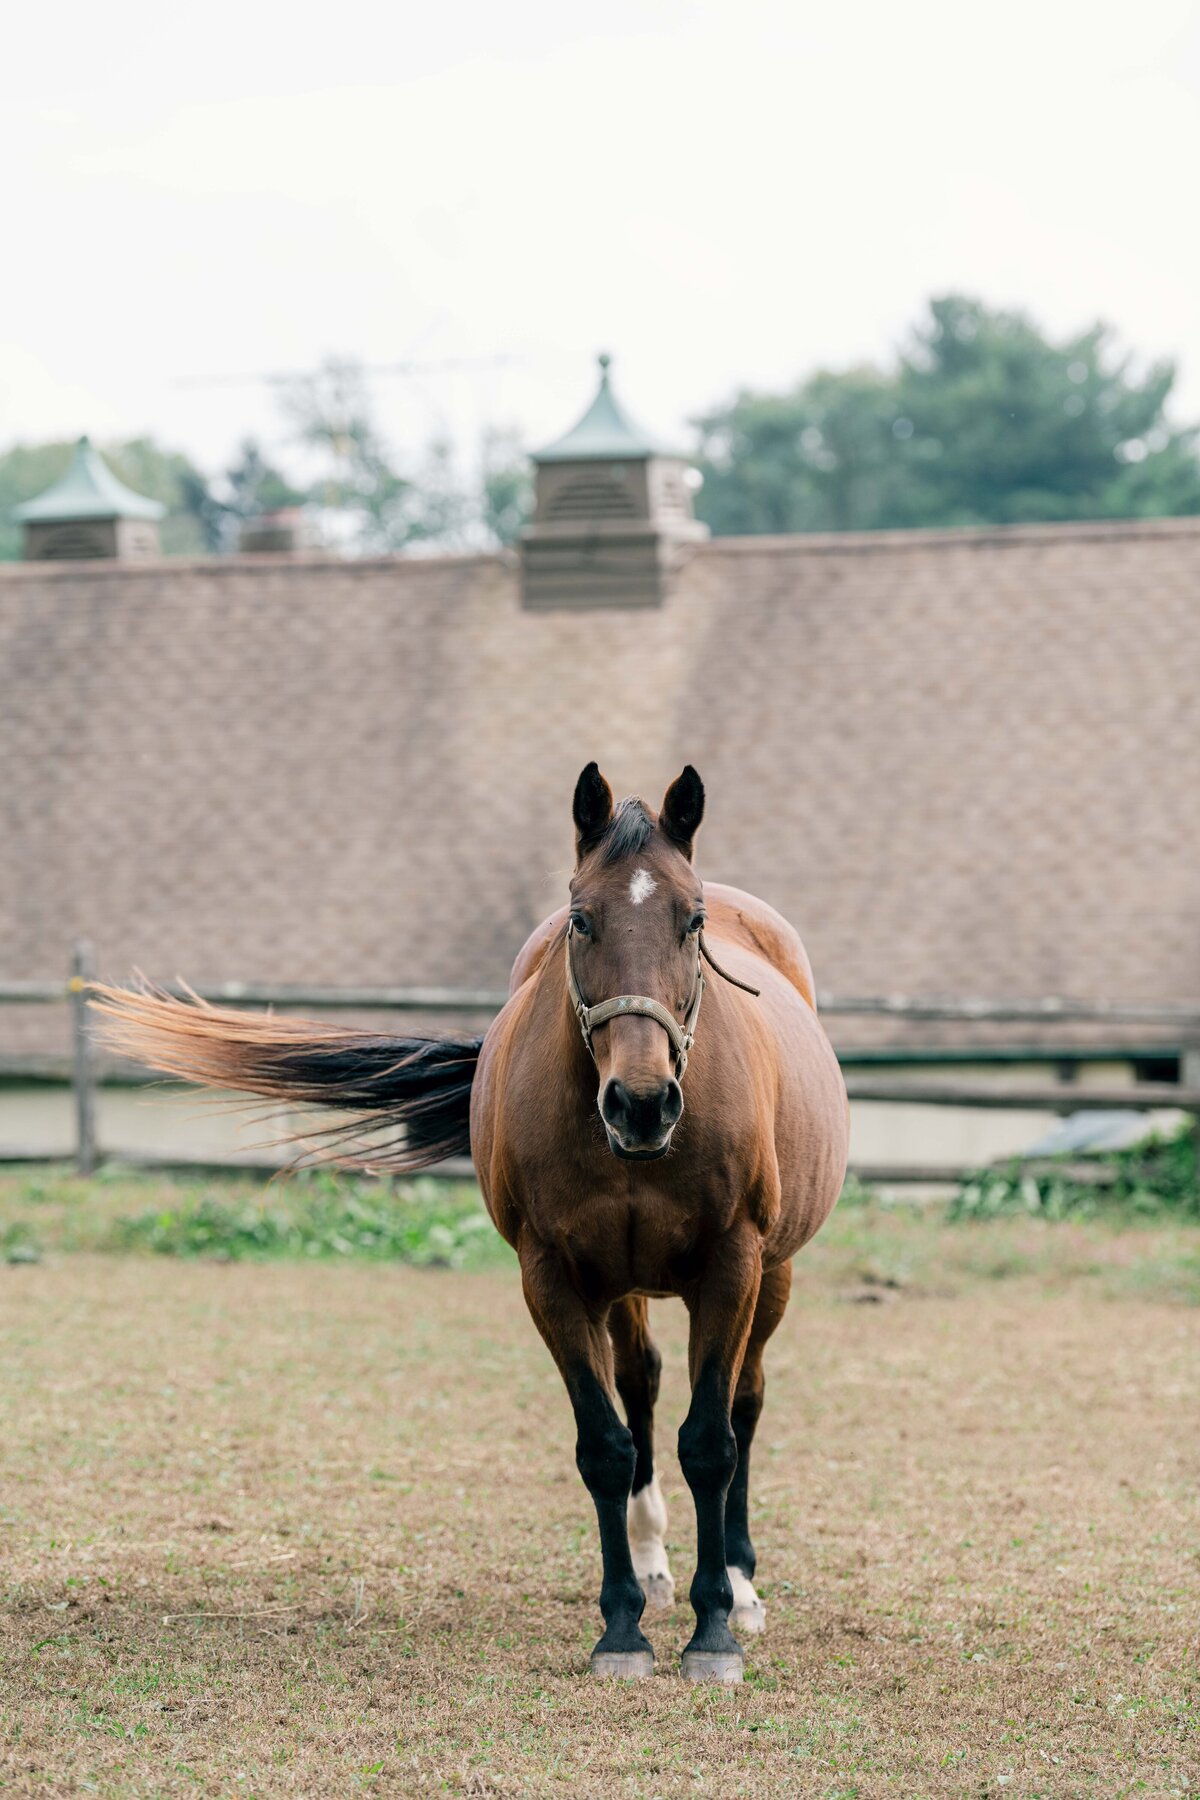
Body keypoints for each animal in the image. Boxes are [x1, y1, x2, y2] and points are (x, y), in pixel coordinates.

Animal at [94, 766, 849, 1677]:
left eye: (692, 920)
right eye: (581, 917)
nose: (640, 1104)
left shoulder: (731, 1267)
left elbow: (710, 1440)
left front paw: (714, 1631)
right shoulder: (553, 1277)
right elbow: (605, 1446)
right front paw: (623, 1626)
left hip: (771, 1276)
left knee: (744, 1401)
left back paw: (738, 1584)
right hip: (625, 1286)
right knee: (641, 1386)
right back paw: (653, 1564)